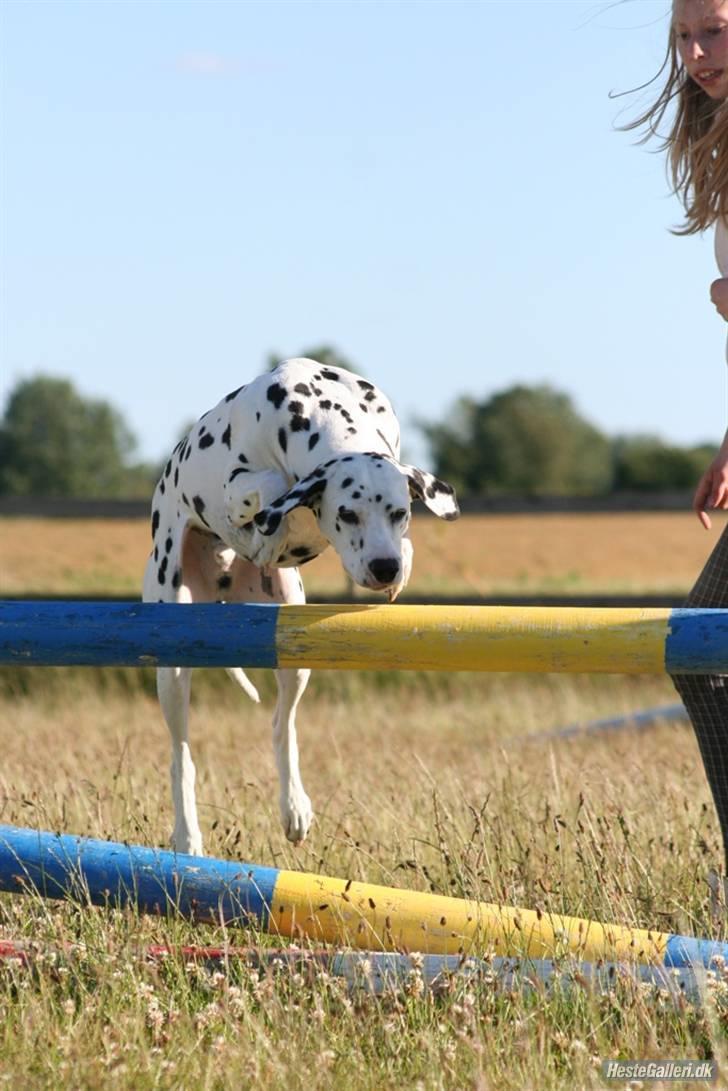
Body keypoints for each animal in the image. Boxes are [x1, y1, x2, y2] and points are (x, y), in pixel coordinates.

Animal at [142, 357, 458, 850]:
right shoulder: (240, 484)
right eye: (347, 513)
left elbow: (406, 544)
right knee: (181, 756)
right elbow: (269, 488)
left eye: (400, 512)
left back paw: (294, 808)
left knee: (281, 724)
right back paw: (187, 836)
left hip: (293, 649)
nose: (383, 568)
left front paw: (401, 564)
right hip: (172, 664)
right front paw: (266, 525)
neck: (321, 408)